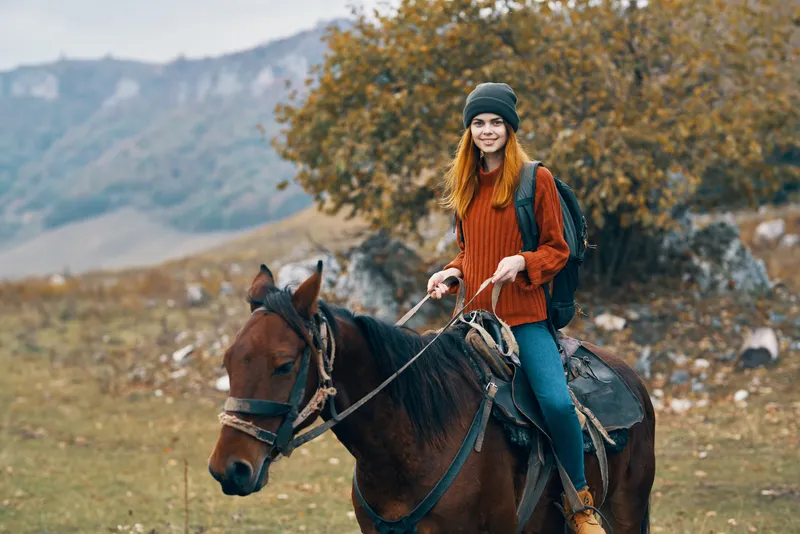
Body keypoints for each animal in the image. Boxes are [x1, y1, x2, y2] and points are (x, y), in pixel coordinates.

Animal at [208, 262, 656, 533]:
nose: (229, 469)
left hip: (625, 512)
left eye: (284, 365)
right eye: (227, 361)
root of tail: (630, 376)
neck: (410, 448)